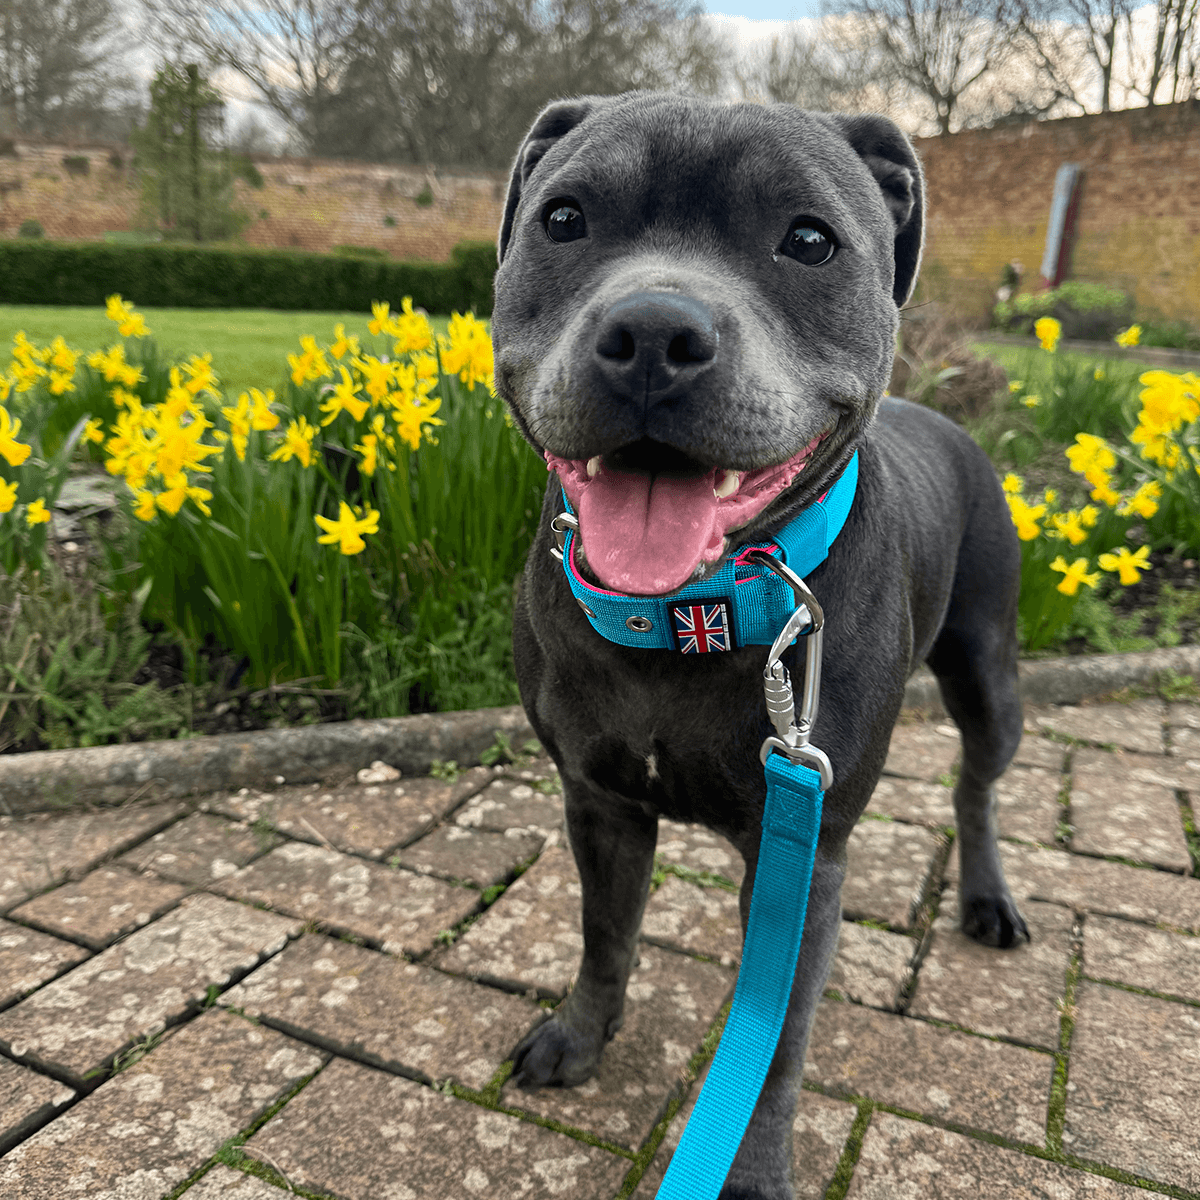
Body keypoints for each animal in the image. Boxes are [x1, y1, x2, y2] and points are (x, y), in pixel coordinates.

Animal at [489, 88, 1032, 1195]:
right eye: (563, 219)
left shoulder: (805, 856)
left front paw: (755, 1167)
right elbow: (605, 933)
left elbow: (775, 1039)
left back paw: (987, 894)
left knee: (976, 783)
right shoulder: (600, 801)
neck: (693, 609)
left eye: (810, 240)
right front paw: (581, 1036)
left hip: (989, 672)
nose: (654, 329)